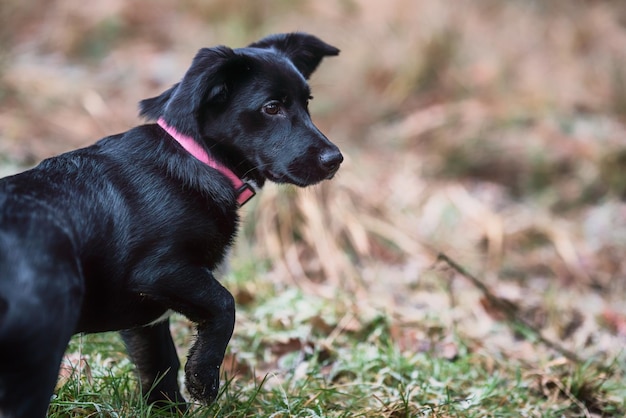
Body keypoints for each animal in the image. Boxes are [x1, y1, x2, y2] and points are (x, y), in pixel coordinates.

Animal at [0, 33, 342, 418]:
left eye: (307, 104)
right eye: (272, 108)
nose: (335, 159)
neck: (198, 157)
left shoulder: (147, 321)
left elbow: (161, 365)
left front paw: (172, 406)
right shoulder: (162, 270)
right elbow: (225, 304)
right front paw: (203, 378)